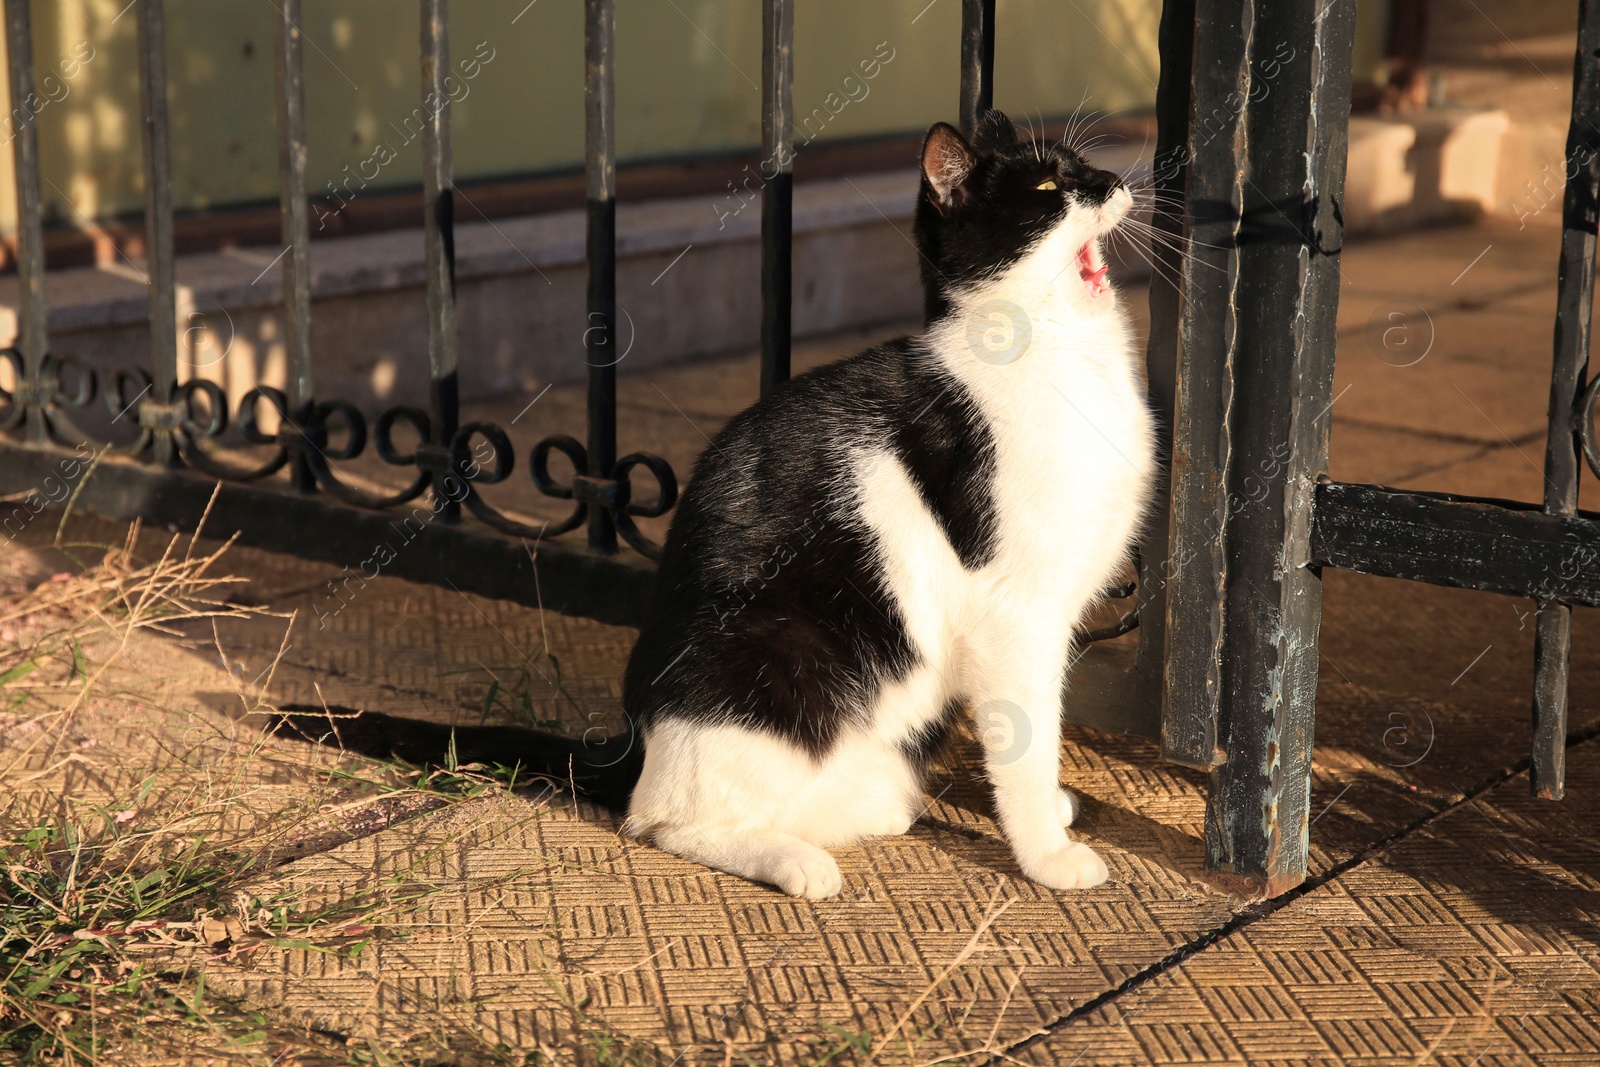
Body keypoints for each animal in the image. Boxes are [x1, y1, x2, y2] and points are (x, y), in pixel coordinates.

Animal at [275, 112, 1152, 902]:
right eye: (1048, 188)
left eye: (1082, 165)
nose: (1114, 180)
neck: (1067, 356)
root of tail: (634, 738)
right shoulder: (1016, 612)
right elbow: (1027, 736)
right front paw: (1047, 854)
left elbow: (1031, 729)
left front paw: (1052, 813)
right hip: (778, 661)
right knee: (662, 819)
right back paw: (796, 864)